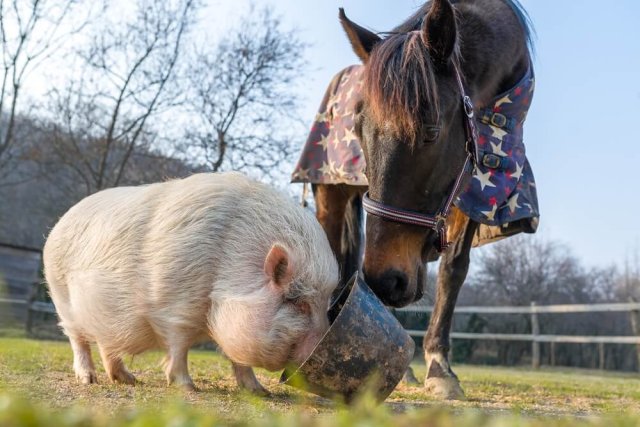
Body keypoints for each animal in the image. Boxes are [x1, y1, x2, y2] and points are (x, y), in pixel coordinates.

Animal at [43, 171, 340, 394]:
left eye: (325, 303)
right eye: (298, 301)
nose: (321, 347)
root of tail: (58, 224)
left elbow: (237, 358)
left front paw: (259, 392)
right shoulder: (173, 309)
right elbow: (179, 348)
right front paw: (187, 387)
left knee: (107, 344)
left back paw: (128, 380)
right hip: (61, 298)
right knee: (78, 340)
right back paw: (89, 380)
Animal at [292, 0, 536, 400]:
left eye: (431, 131)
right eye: (358, 129)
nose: (385, 281)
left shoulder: (476, 188)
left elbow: (454, 269)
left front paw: (440, 367)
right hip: (331, 194)